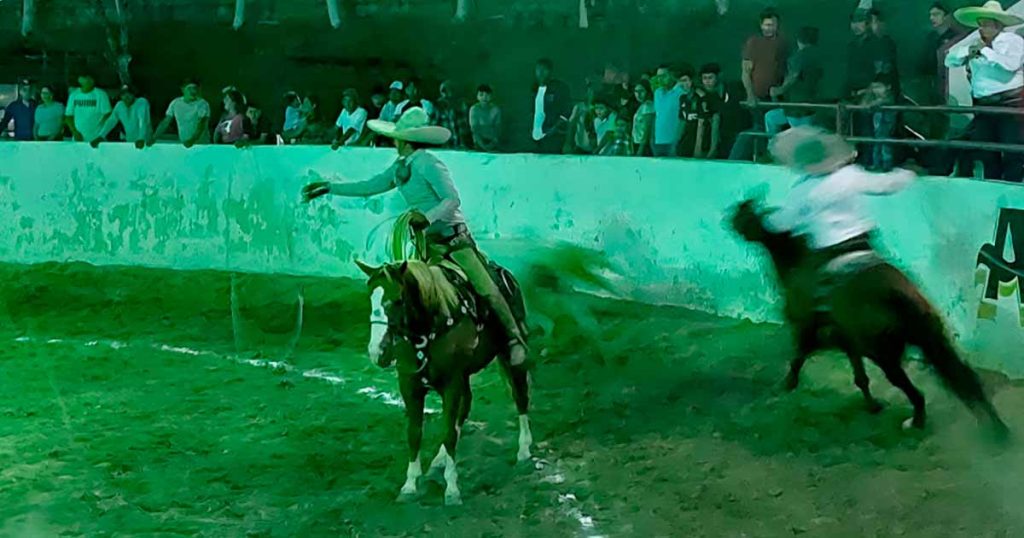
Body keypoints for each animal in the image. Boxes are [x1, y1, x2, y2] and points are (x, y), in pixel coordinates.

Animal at [354, 258, 532, 506]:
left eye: (398, 300)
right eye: (369, 297)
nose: (377, 352)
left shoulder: (451, 384)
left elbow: (448, 432)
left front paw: (452, 489)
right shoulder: (410, 386)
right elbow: (414, 433)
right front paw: (410, 485)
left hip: (509, 357)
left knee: (520, 396)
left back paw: (524, 450)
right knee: (465, 407)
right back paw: (438, 460)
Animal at [733, 197, 1011, 440]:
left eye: (744, 213)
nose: (730, 219)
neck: (797, 260)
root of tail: (899, 295)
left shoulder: (808, 327)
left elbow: (799, 357)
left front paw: (787, 384)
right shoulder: (848, 341)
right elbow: (860, 377)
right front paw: (873, 405)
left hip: (885, 354)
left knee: (915, 390)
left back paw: (917, 421)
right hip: (927, 339)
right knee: (964, 377)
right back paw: (997, 430)